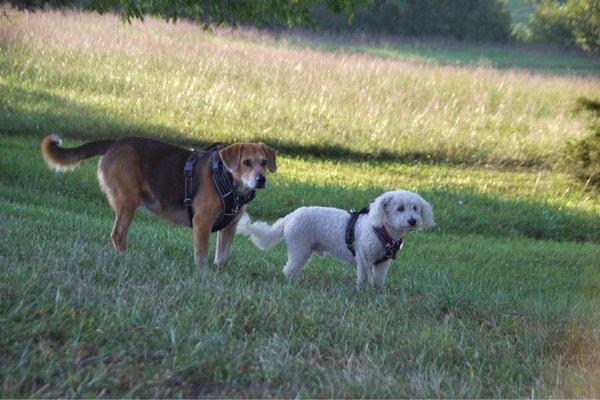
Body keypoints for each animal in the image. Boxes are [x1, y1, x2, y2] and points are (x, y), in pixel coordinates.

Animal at [41, 135, 276, 268]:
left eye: (264, 163)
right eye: (246, 162)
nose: (261, 179)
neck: (228, 181)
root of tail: (115, 142)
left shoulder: (229, 227)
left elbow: (223, 256)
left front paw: (219, 271)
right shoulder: (202, 222)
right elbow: (201, 254)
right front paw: (203, 273)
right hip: (128, 200)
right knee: (118, 234)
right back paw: (126, 258)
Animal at [237, 190, 434, 286]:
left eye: (415, 208)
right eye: (400, 208)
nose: (413, 221)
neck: (382, 229)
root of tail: (290, 217)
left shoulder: (382, 263)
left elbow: (379, 279)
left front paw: (378, 291)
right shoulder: (364, 258)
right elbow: (364, 278)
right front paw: (364, 291)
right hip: (300, 247)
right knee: (290, 268)